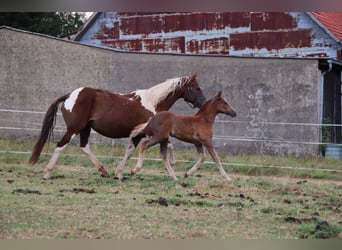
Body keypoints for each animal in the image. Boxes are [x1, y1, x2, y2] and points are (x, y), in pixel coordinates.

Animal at [29, 73, 204, 179]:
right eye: (196, 87)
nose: (202, 103)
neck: (153, 103)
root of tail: (69, 95)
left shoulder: (140, 134)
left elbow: (130, 151)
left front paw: (119, 173)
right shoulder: (149, 133)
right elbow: (167, 145)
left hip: (85, 128)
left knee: (84, 147)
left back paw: (103, 171)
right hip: (74, 129)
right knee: (61, 145)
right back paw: (47, 173)